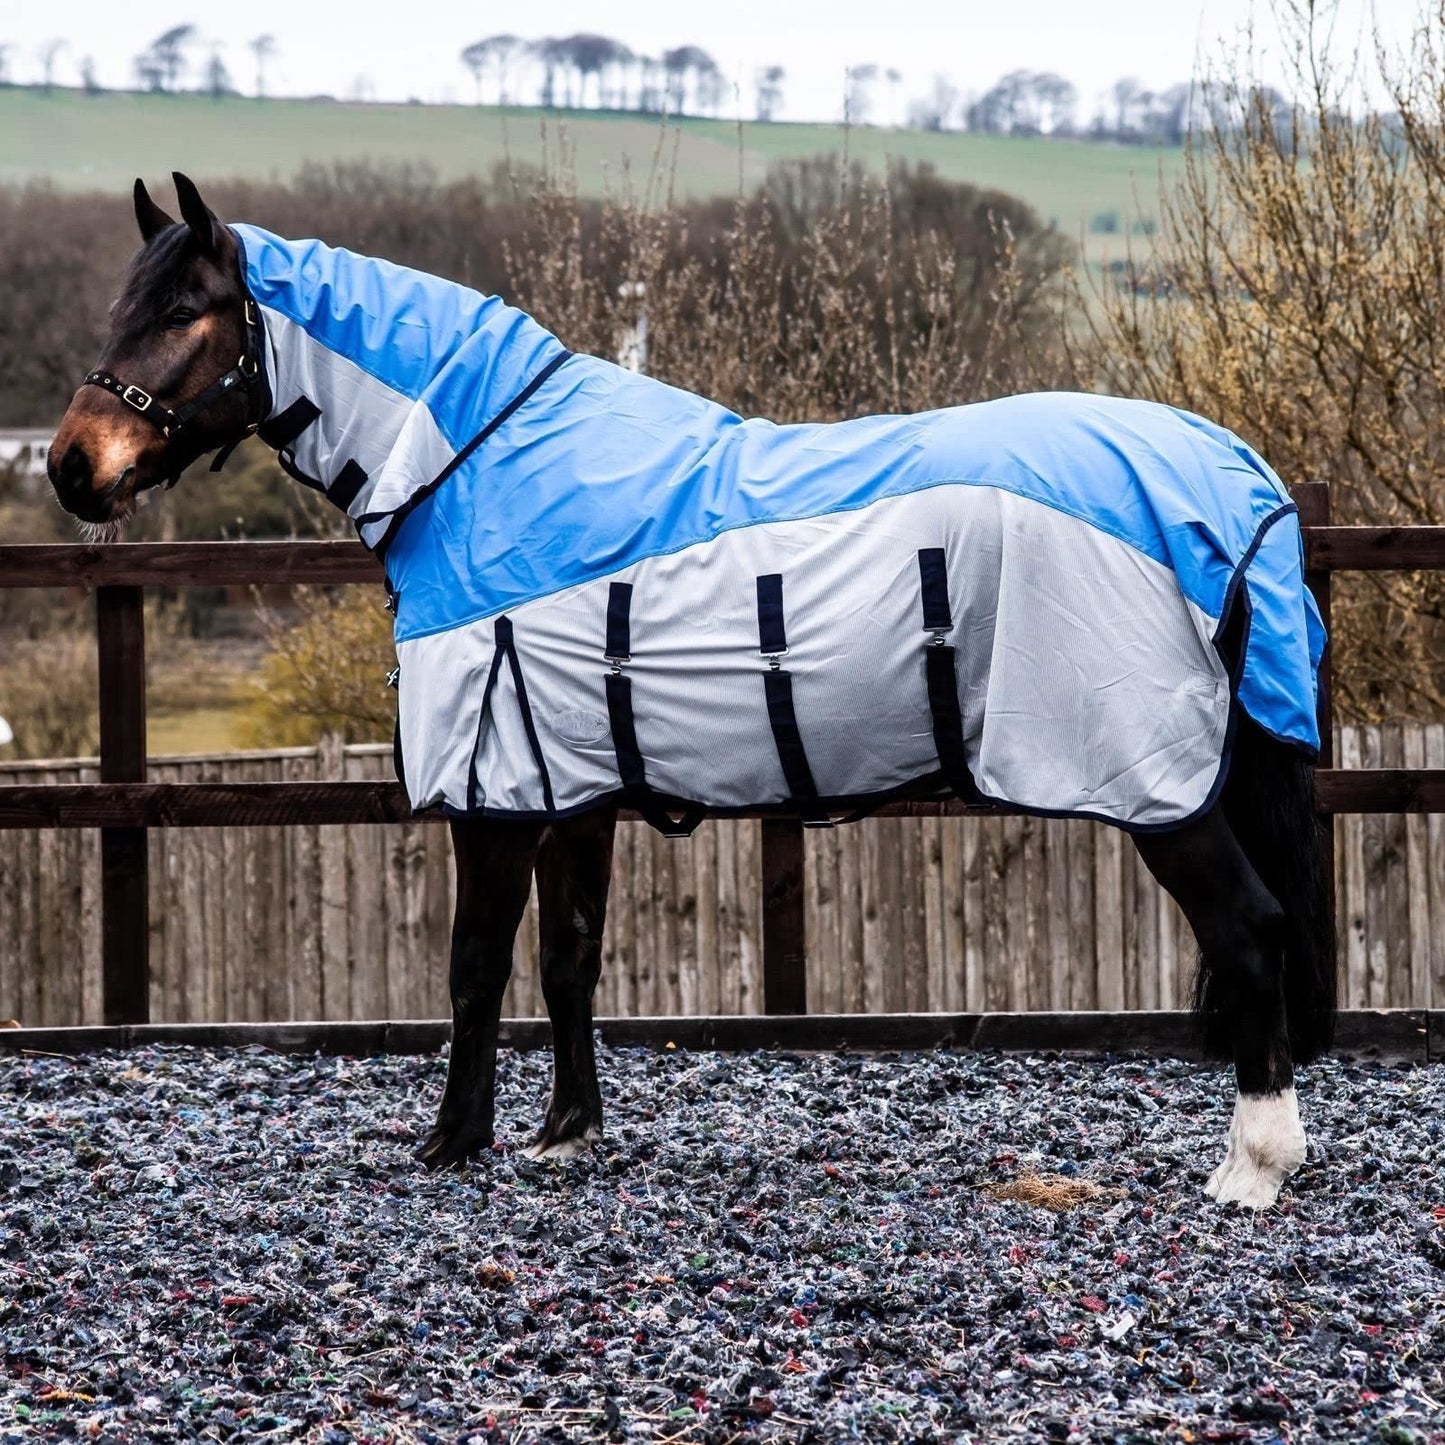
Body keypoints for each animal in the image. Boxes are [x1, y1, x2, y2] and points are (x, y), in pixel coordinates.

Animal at [47, 173, 1335, 1209]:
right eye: (120, 308)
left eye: (183, 311)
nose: (70, 467)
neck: (481, 467)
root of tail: (1230, 471)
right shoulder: (568, 789)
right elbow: (569, 953)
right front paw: (564, 1134)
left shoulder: (493, 793)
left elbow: (474, 963)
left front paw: (451, 1142)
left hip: (1150, 782)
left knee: (1251, 927)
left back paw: (1249, 1167)